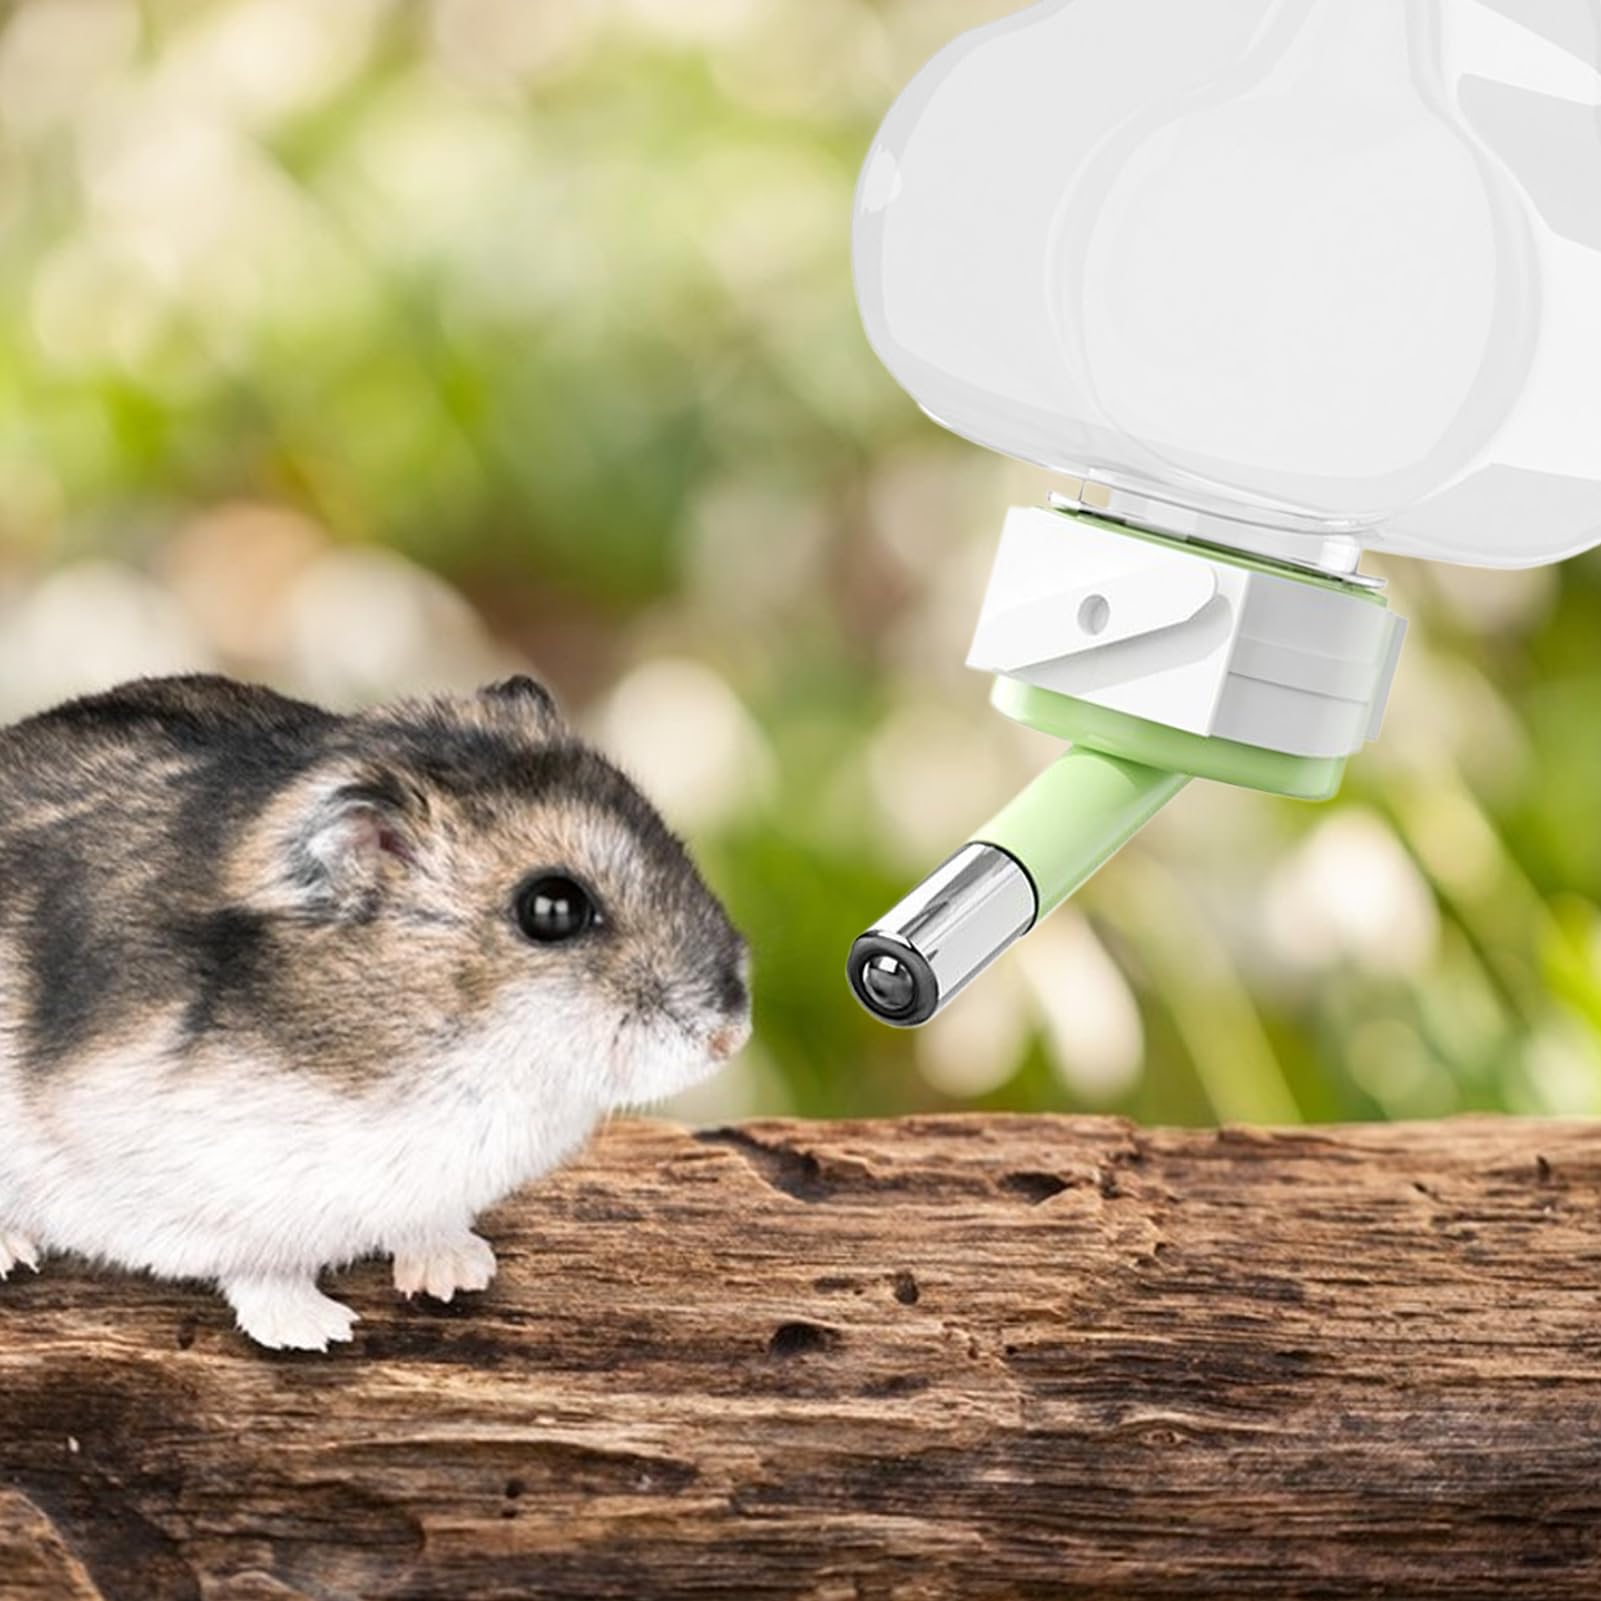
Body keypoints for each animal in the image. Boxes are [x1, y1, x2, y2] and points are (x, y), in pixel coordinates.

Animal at [0, 673, 750, 1349]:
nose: (732, 1035)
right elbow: (260, 1265)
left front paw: (459, 1274)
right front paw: (320, 1333)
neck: (473, 1056)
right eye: (552, 909)